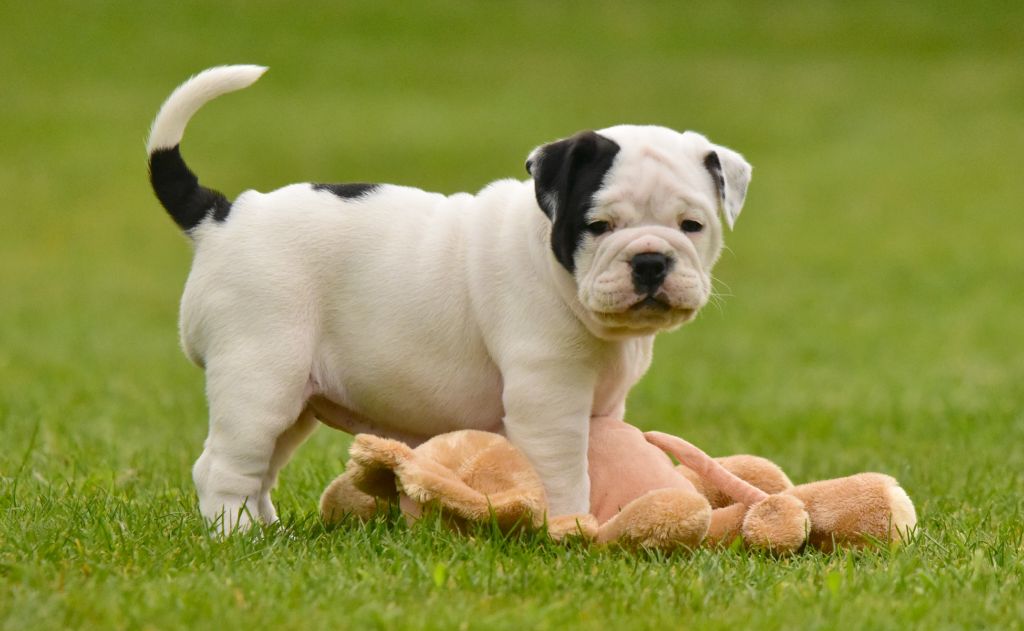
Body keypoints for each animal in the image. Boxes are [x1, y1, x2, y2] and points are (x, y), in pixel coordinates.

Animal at [146, 65, 753, 532]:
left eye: (692, 225)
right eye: (598, 226)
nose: (650, 261)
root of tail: (223, 216)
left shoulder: (603, 403)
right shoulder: (548, 400)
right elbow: (564, 470)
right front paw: (570, 528)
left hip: (293, 397)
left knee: (261, 468)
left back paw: (271, 533)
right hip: (259, 375)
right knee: (222, 468)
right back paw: (237, 536)